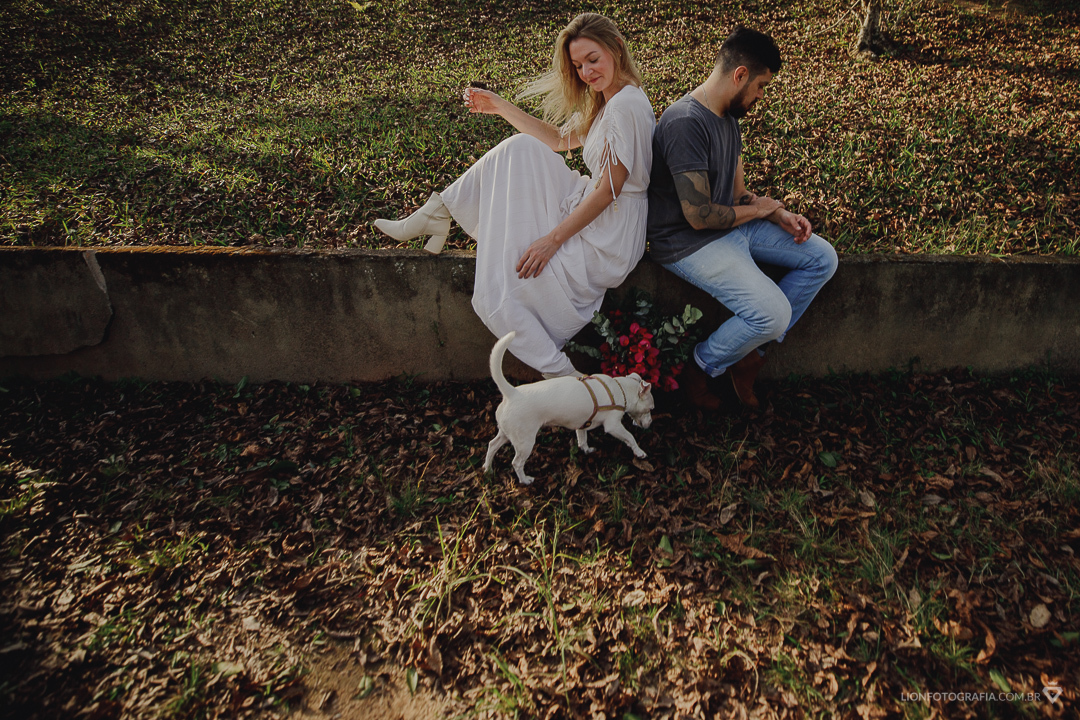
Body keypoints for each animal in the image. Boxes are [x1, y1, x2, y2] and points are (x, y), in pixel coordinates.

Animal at [483, 331, 655, 485]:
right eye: (650, 409)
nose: (650, 424)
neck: (620, 389)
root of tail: (511, 393)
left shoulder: (582, 424)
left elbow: (582, 438)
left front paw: (586, 449)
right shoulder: (613, 426)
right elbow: (630, 438)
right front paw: (639, 452)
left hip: (506, 433)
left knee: (492, 445)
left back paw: (487, 469)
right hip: (525, 441)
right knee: (516, 462)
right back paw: (525, 480)